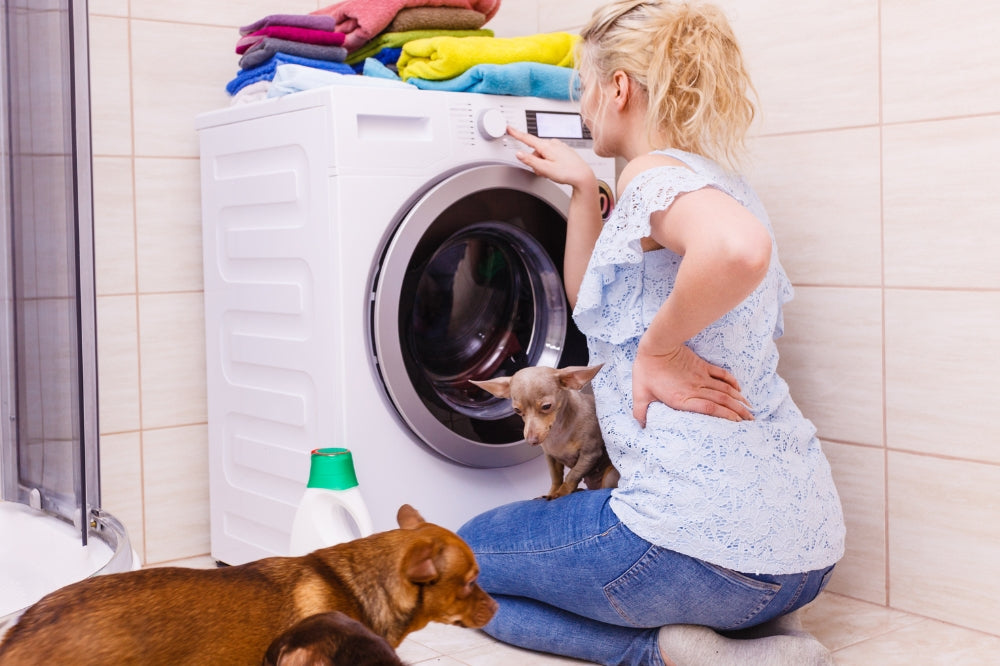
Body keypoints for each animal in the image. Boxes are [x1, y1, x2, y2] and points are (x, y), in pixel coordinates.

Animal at [474, 364, 620, 498]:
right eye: (517, 410)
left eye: (546, 406)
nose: (531, 441)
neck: (558, 431)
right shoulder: (551, 457)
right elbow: (556, 478)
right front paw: (552, 492)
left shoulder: (590, 454)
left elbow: (572, 475)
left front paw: (561, 493)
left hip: (610, 475)